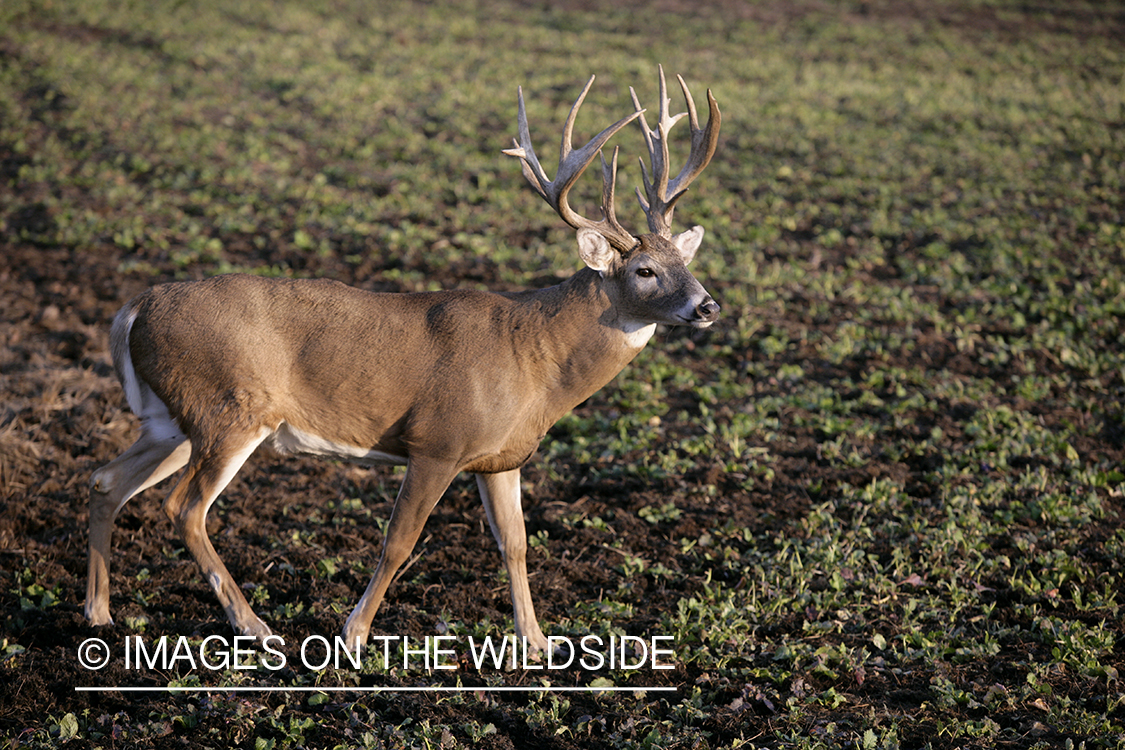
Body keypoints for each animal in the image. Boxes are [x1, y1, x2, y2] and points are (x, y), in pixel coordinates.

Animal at [85, 66, 720, 652]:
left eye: (685, 262)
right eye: (645, 271)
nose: (708, 305)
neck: (535, 359)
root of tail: (137, 307)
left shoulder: (502, 457)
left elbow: (515, 544)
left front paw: (537, 642)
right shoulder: (437, 441)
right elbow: (400, 542)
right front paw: (355, 633)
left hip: (174, 418)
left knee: (106, 479)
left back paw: (99, 613)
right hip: (229, 409)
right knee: (184, 507)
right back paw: (254, 626)